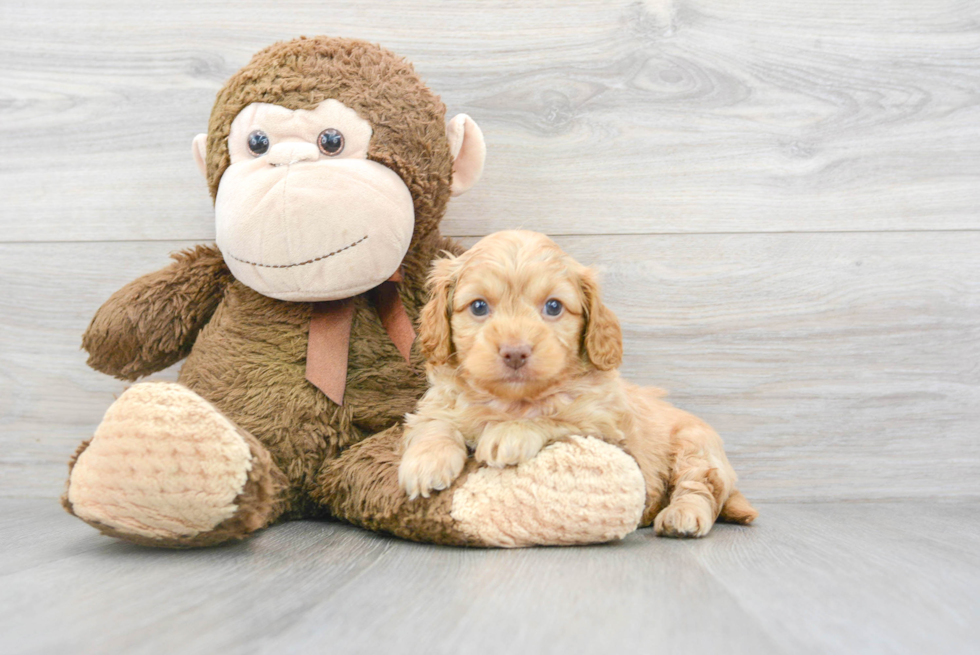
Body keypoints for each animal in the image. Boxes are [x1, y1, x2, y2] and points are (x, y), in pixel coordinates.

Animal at [398, 231, 756, 540]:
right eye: (478, 306)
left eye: (553, 306)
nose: (515, 352)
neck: (513, 400)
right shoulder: (436, 404)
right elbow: (435, 423)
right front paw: (426, 462)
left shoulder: (602, 426)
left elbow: (555, 418)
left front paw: (510, 432)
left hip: (696, 446)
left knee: (700, 487)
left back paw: (682, 516)